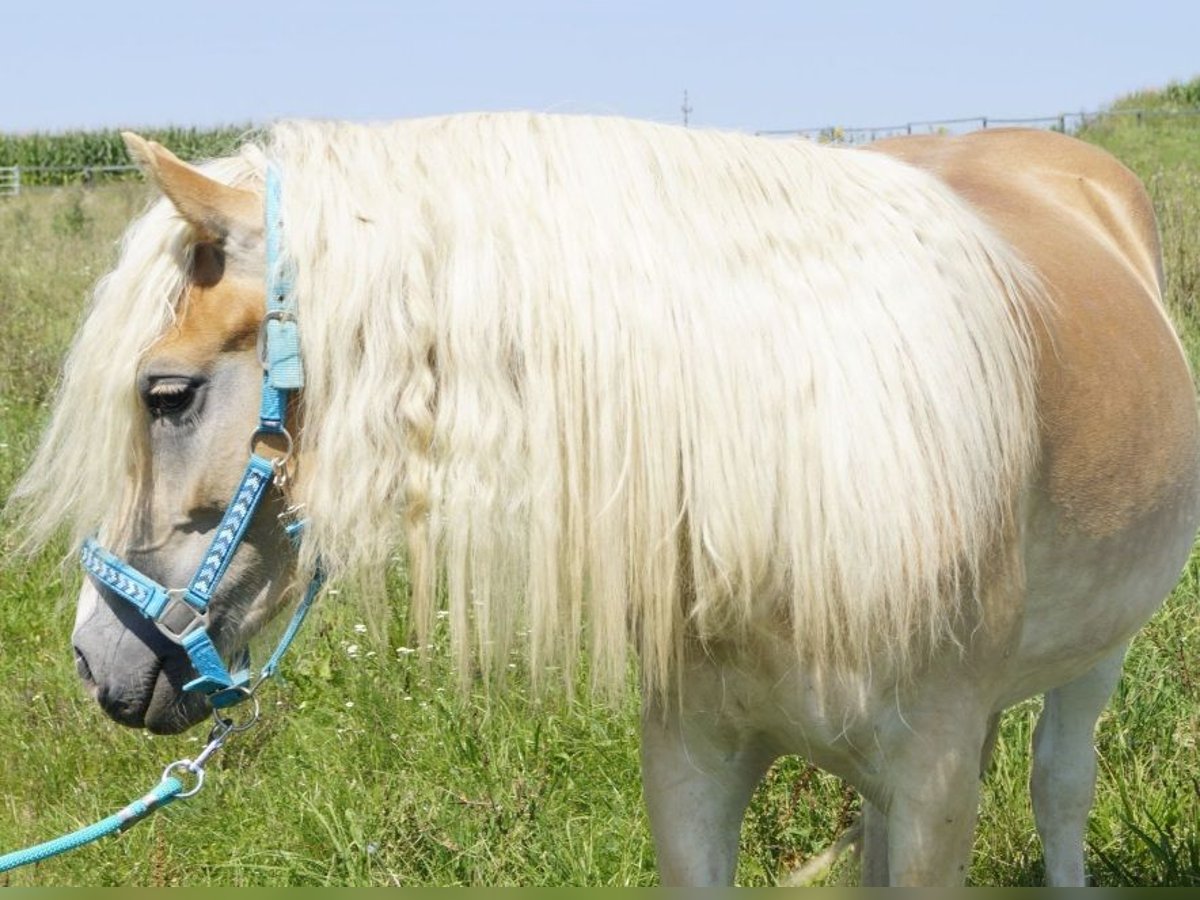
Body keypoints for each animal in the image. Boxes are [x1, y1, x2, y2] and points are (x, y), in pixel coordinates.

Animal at [11, 114, 1200, 888]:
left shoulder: (935, 784)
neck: (791, 454)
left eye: (166, 394)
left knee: (1060, 788)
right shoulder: (692, 767)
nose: (94, 659)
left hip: (1094, 660)